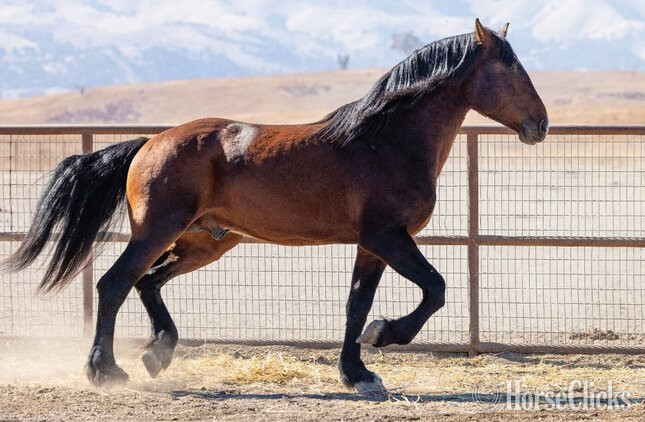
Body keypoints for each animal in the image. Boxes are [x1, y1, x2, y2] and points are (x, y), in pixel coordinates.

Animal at [4, 19, 547, 394]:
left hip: (206, 242)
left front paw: (358, 372)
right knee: (115, 283)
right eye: (510, 68)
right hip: (157, 231)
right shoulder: (388, 237)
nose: (540, 125)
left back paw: (158, 353)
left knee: (147, 282)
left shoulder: (371, 245)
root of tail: (148, 143)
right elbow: (435, 289)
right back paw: (106, 370)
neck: (387, 140)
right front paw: (384, 336)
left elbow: (355, 305)